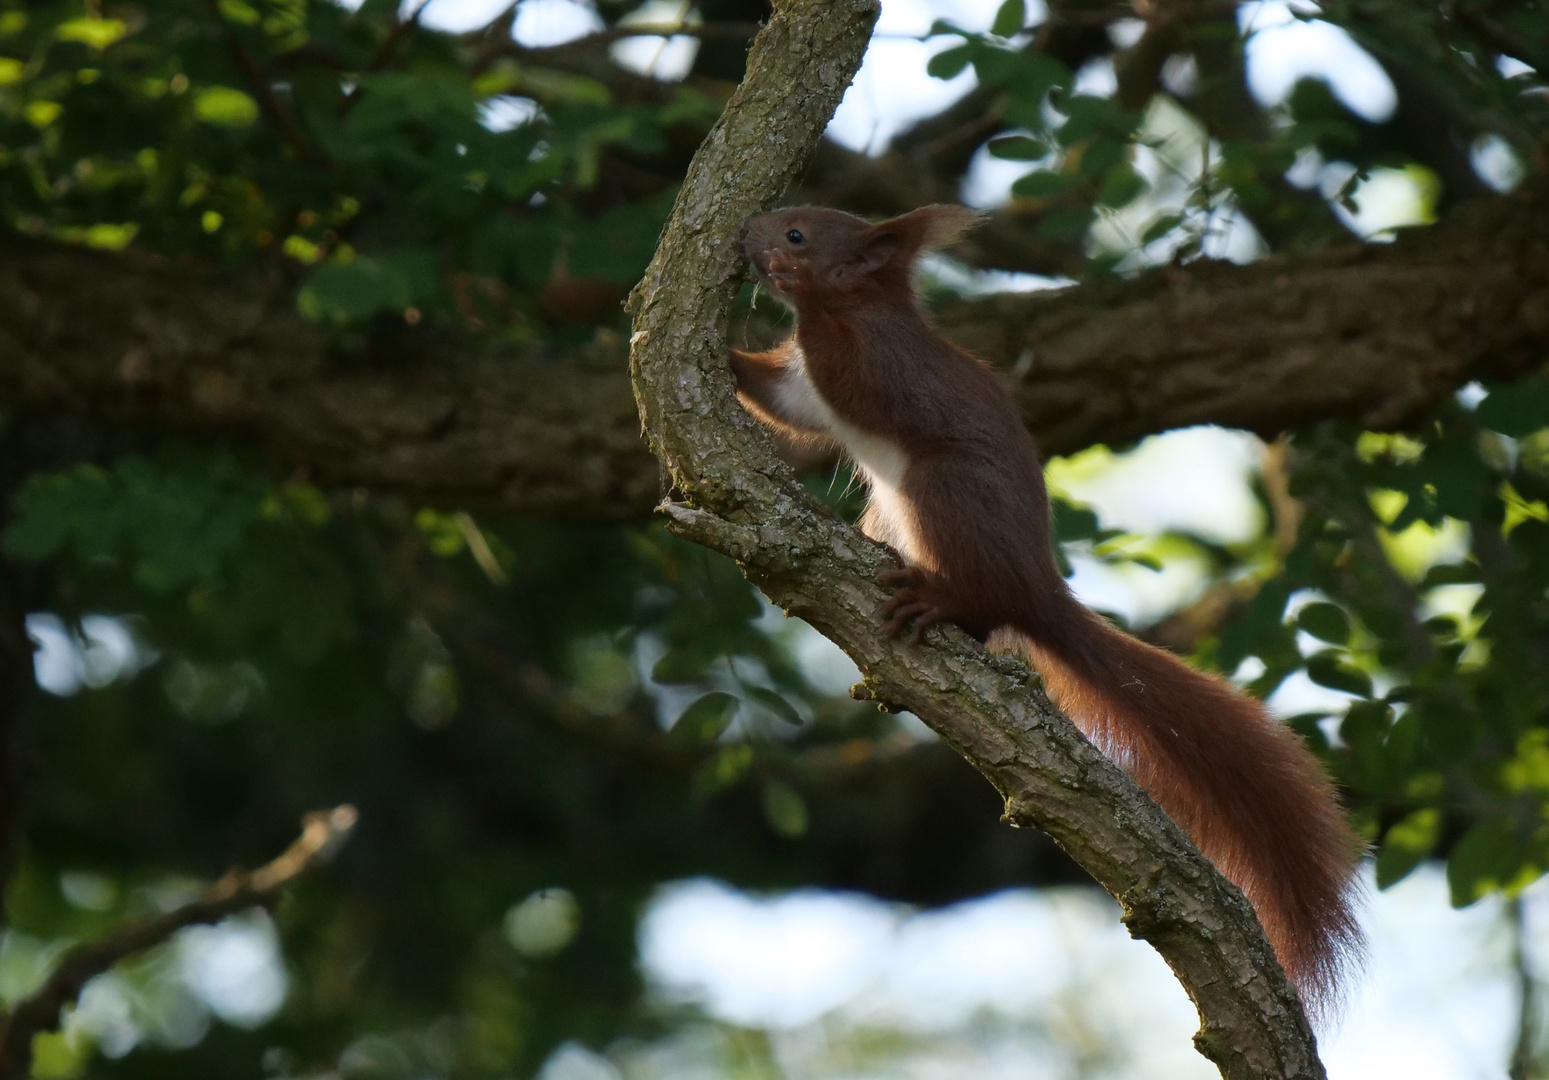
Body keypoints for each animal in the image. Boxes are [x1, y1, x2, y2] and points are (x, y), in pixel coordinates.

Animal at [731, 206, 1363, 1016]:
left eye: (798, 235)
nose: (750, 232)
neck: (860, 305)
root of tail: (1037, 586)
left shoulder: (874, 363)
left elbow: (844, 384)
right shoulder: (802, 390)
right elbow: (784, 403)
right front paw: (696, 349)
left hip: (943, 488)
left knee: (981, 601)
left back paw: (940, 598)